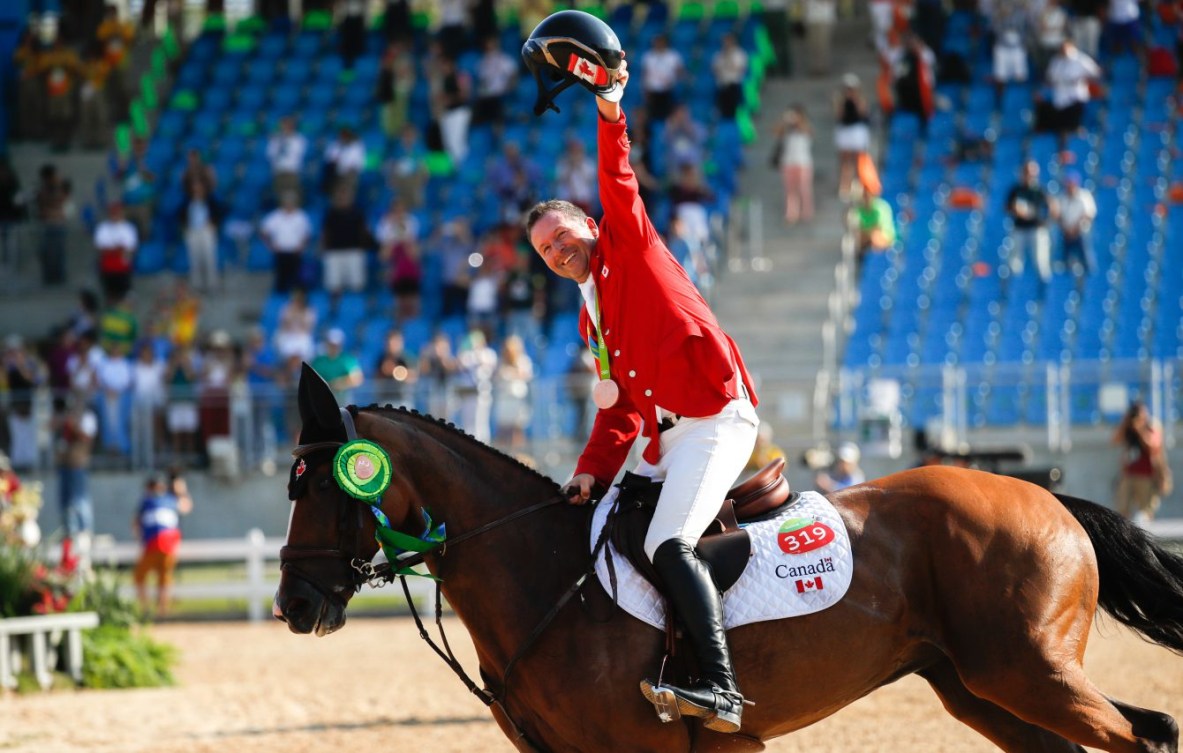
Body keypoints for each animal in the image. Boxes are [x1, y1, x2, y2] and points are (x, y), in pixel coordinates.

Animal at [272, 361, 1183, 747]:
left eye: (321, 488)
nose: (293, 604)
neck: (542, 574)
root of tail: (1047, 497)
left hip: (1027, 671)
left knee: (1140, 735)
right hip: (979, 686)